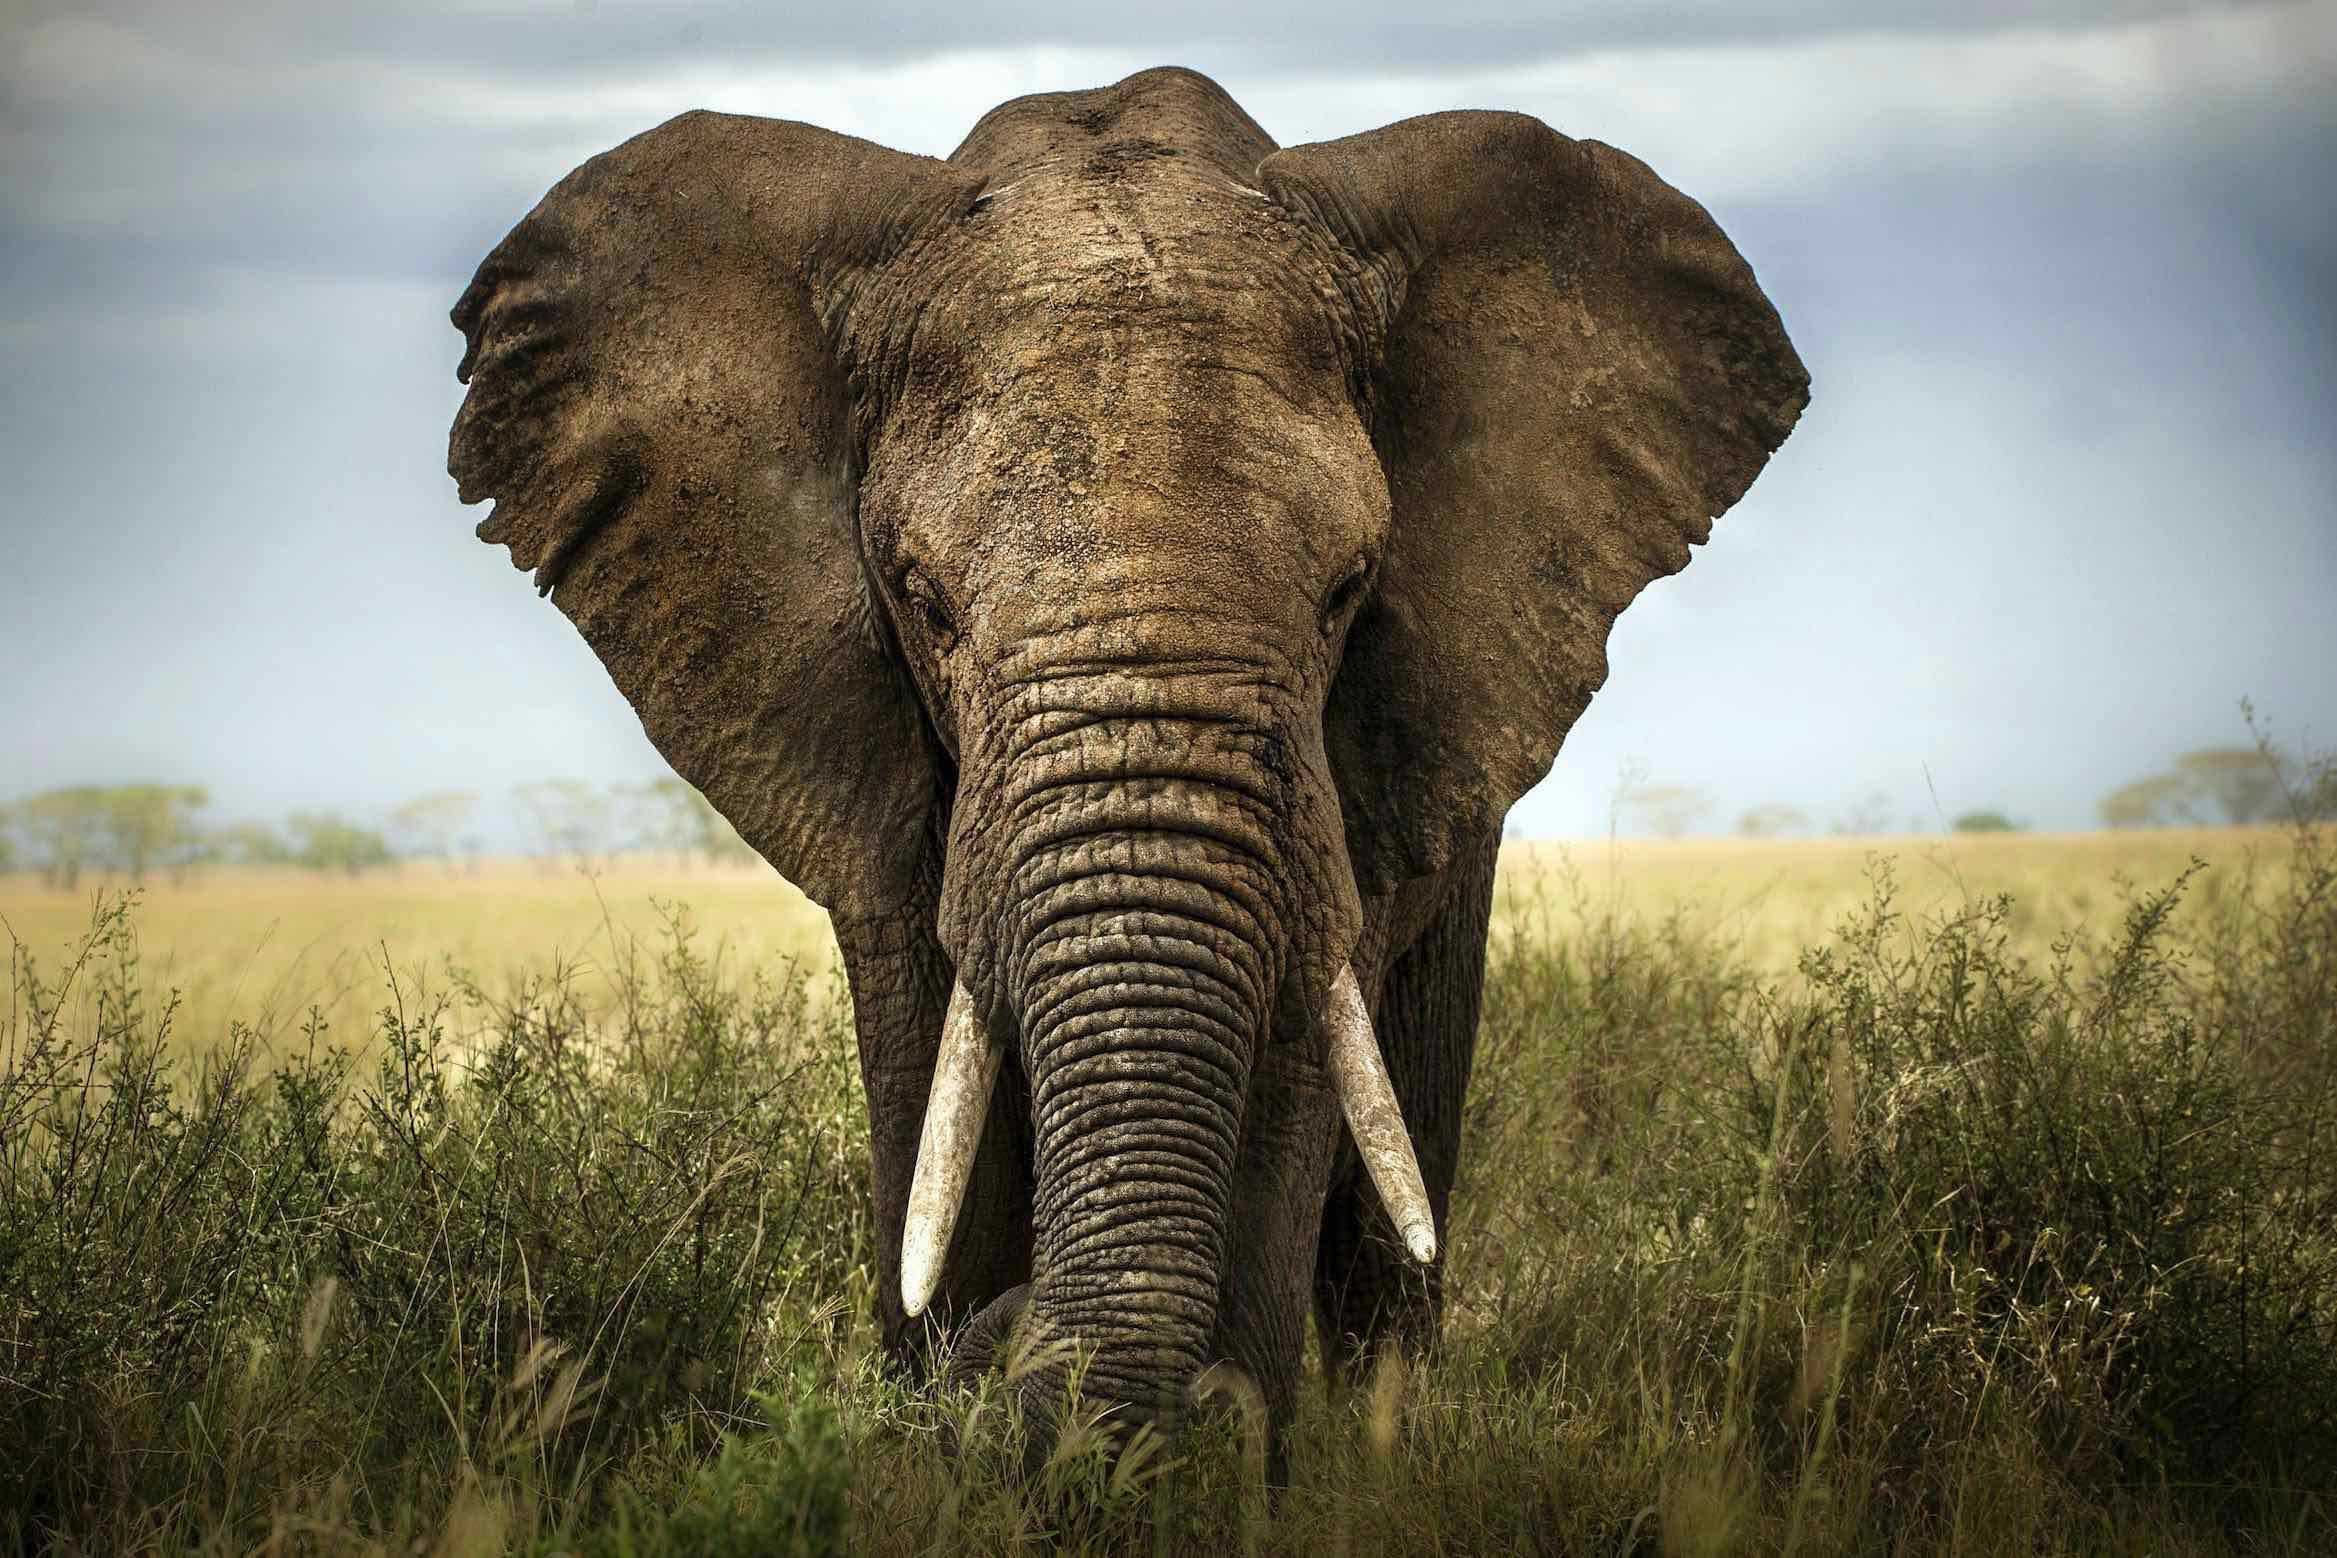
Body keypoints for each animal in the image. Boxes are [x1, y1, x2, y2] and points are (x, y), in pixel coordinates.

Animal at [447, 65, 1806, 1463]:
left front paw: (1207, 1452)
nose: (1009, 1343)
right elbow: (934, 1083)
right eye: (924, 601)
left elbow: (1296, 1062)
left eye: (1348, 592)